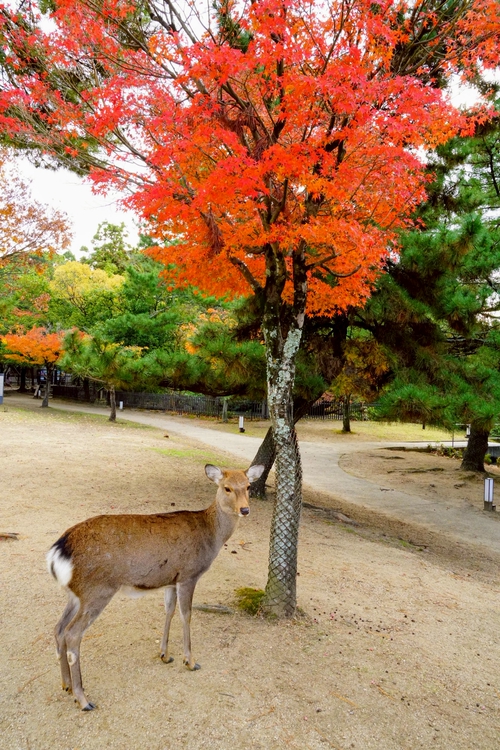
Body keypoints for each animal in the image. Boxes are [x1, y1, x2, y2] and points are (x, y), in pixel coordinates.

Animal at [46, 463, 265, 711]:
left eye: (248, 486)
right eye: (226, 487)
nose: (245, 509)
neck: (211, 536)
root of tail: (58, 550)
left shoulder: (170, 579)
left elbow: (169, 610)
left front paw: (165, 655)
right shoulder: (189, 574)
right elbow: (186, 614)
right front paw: (190, 661)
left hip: (76, 594)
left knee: (59, 628)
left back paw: (66, 685)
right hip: (97, 590)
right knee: (73, 633)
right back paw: (83, 699)